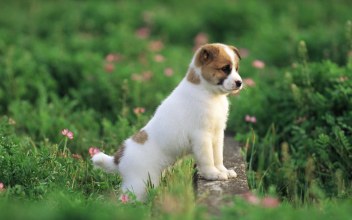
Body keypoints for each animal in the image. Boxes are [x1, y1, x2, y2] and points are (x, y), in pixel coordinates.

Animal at [92, 43, 243, 201]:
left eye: (236, 68)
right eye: (225, 68)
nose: (240, 83)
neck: (207, 92)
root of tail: (118, 159)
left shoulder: (217, 134)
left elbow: (218, 156)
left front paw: (222, 171)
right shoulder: (201, 137)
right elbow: (208, 159)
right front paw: (213, 174)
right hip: (138, 184)